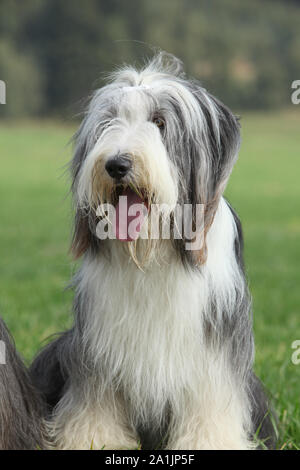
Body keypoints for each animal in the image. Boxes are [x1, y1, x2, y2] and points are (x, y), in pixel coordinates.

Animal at [30, 53, 276, 450]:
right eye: (108, 121)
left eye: (160, 122)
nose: (117, 164)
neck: (153, 250)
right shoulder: (97, 346)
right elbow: (96, 398)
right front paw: (93, 439)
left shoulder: (215, 346)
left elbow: (210, 400)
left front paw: (210, 441)